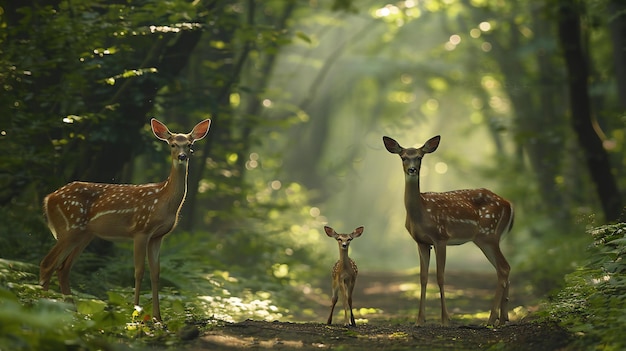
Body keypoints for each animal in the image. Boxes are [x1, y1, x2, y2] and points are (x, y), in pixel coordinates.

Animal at [39, 118, 210, 322]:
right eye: (173, 144)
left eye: (190, 144)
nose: (182, 156)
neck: (164, 200)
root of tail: (48, 198)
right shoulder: (141, 230)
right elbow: (139, 271)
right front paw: (135, 313)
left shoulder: (157, 236)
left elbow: (156, 273)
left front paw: (158, 318)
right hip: (69, 228)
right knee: (47, 264)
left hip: (84, 234)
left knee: (63, 268)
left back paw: (73, 314)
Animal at [380, 135, 512, 328]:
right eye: (403, 157)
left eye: (419, 157)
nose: (412, 169)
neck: (421, 212)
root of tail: (509, 204)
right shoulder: (421, 242)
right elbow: (423, 277)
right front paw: (420, 320)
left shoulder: (441, 237)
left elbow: (440, 276)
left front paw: (445, 320)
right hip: (486, 239)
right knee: (504, 269)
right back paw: (503, 319)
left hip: (489, 234)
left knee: (503, 268)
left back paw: (491, 319)